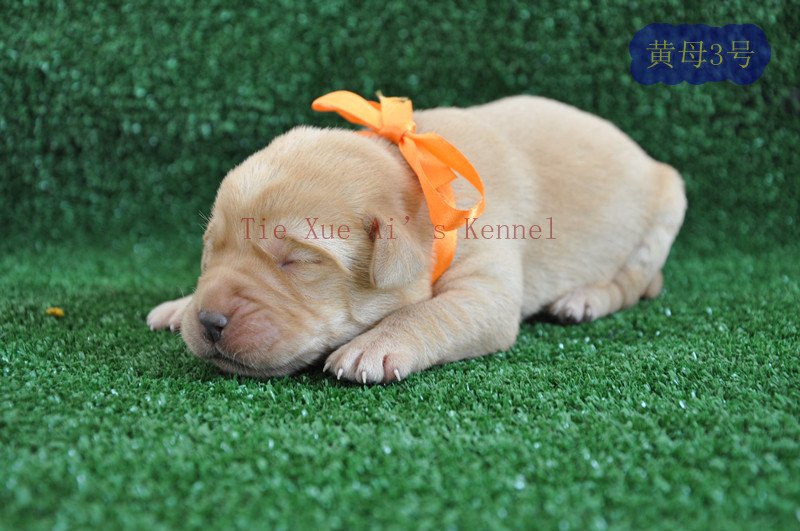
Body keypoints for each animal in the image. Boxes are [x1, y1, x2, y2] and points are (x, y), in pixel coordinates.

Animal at [147, 94, 686, 384]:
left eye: (297, 262)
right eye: (210, 250)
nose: (208, 320)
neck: (413, 169)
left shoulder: (485, 288)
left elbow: (429, 312)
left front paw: (373, 345)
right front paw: (178, 306)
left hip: (666, 207)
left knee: (634, 283)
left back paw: (584, 299)